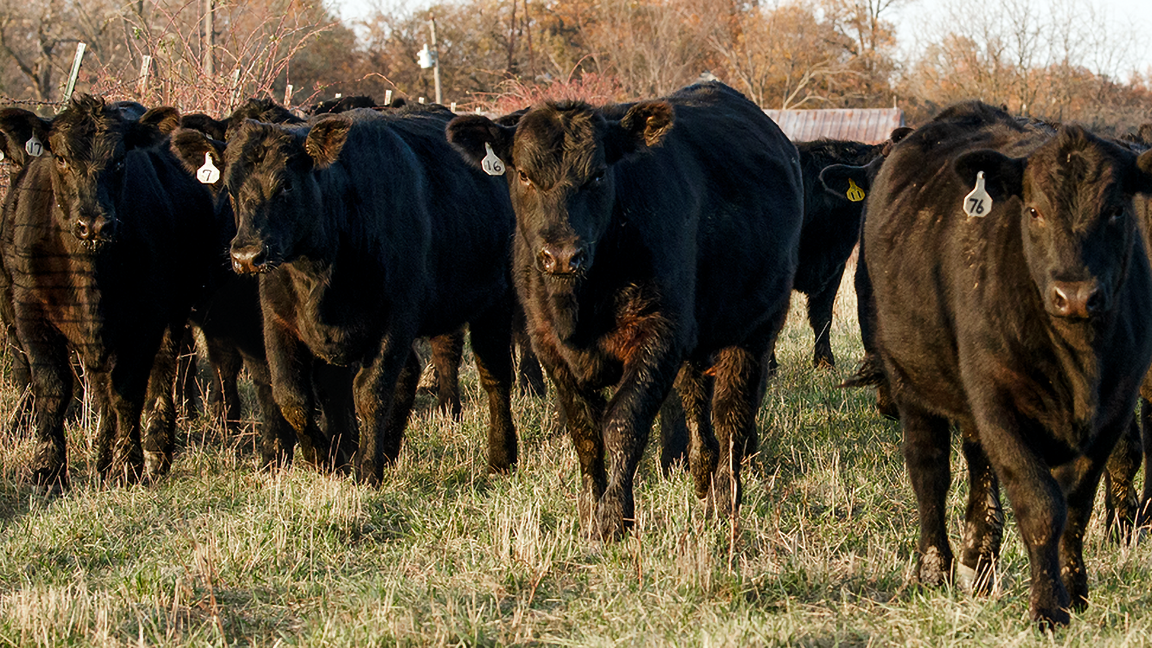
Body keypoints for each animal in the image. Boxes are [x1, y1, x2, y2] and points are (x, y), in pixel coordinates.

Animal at [0, 96, 217, 488]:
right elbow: (53, 388)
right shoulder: (29, 312)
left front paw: (128, 465)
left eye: (119, 160)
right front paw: (48, 469)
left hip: (173, 314)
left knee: (163, 371)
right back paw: (102, 458)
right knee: (100, 386)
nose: (93, 224)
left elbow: (128, 391)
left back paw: (155, 452)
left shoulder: (146, 317)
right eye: (60, 158)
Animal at [221, 104, 518, 479]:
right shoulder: (277, 319)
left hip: (495, 302)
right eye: (230, 187)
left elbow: (370, 393)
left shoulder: (395, 319)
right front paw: (324, 459)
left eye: (286, 183)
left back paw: (502, 457)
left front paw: (366, 471)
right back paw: (388, 452)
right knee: (409, 374)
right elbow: (292, 397)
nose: (247, 255)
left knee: (496, 377)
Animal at [444, 80, 806, 537]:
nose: (562, 255)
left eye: (598, 173)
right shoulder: (549, 346)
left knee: (732, 415)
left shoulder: (658, 335)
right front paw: (589, 512)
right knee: (694, 399)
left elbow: (622, 424)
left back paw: (724, 503)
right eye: (524, 175)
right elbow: (585, 431)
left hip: (755, 327)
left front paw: (615, 519)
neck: (580, 304)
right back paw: (701, 477)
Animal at [866, 102, 1152, 627]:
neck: (1079, 360)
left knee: (978, 467)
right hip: (909, 377)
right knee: (929, 470)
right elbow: (1040, 506)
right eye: (1034, 210)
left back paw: (979, 559)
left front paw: (1075, 592)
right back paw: (934, 569)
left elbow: (1075, 507)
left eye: (1117, 210)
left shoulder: (1115, 410)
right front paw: (1048, 607)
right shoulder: (999, 403)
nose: (1075, 295)